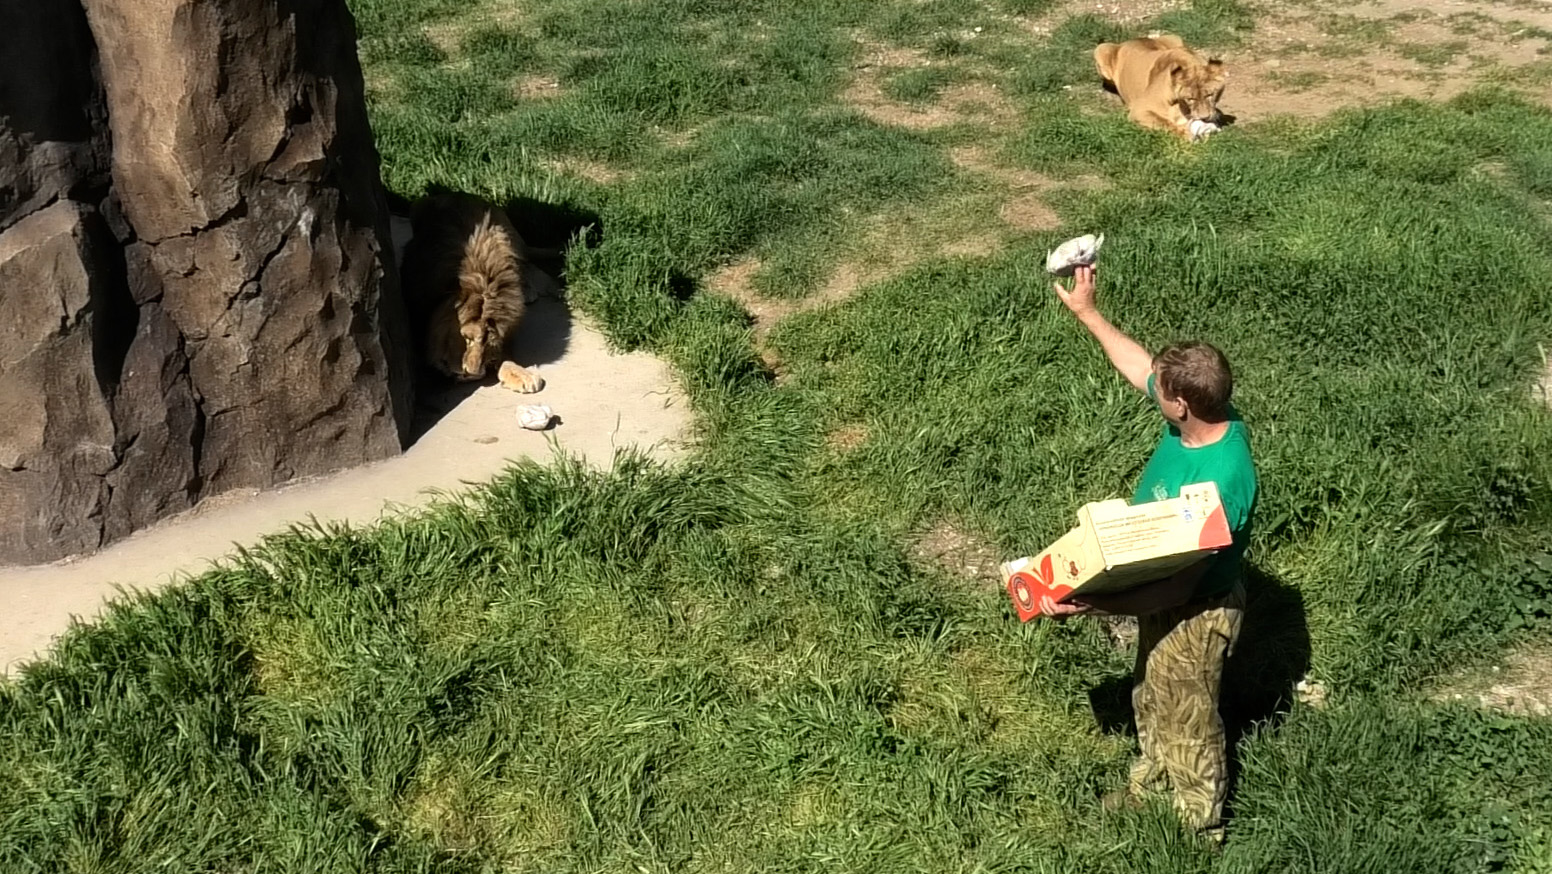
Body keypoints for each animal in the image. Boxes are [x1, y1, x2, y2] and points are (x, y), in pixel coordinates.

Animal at [399, 192, 544, 393]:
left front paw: (520, 373)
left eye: (488, 347)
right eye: (466, 338)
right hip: (418, 206)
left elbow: (507, 357)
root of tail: (461, 193)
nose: (471, 373)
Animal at [1093, 35, 1227, 141]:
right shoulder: (1139, 110)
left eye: (1210, 95)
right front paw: (1186, 134)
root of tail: (1133, 39)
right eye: (1190, 99)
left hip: (1175, 37)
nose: (1204, 117)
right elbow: (1164, 122)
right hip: (1101, 49)